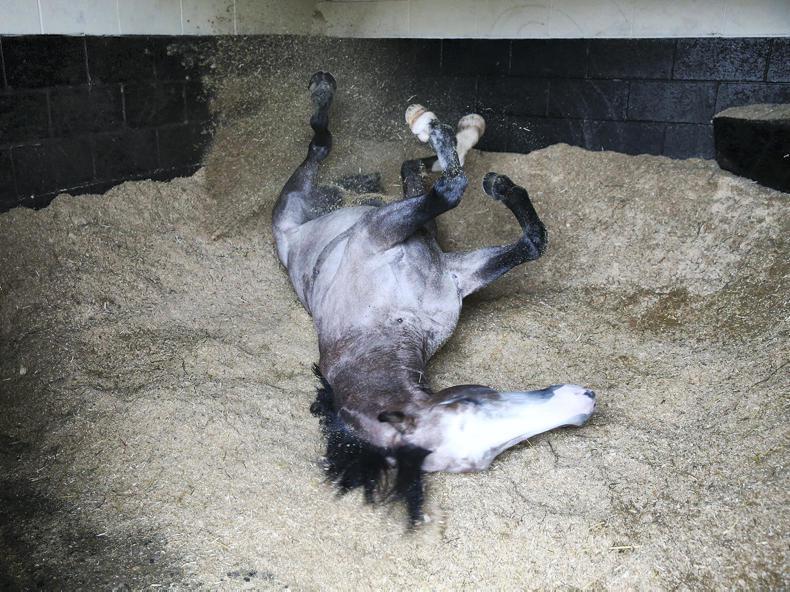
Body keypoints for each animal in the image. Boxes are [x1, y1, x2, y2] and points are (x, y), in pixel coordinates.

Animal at [272, 72, 596, 525]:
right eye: (471, 403)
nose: (583, 403)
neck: (390, 323)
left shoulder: (453, 273)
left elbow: (532, 241)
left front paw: (490, 175)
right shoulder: (381, 233)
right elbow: (452, 192)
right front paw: (476, 166)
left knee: (409, 171)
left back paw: (458, 130)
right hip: (293, 204)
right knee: (324, 145)